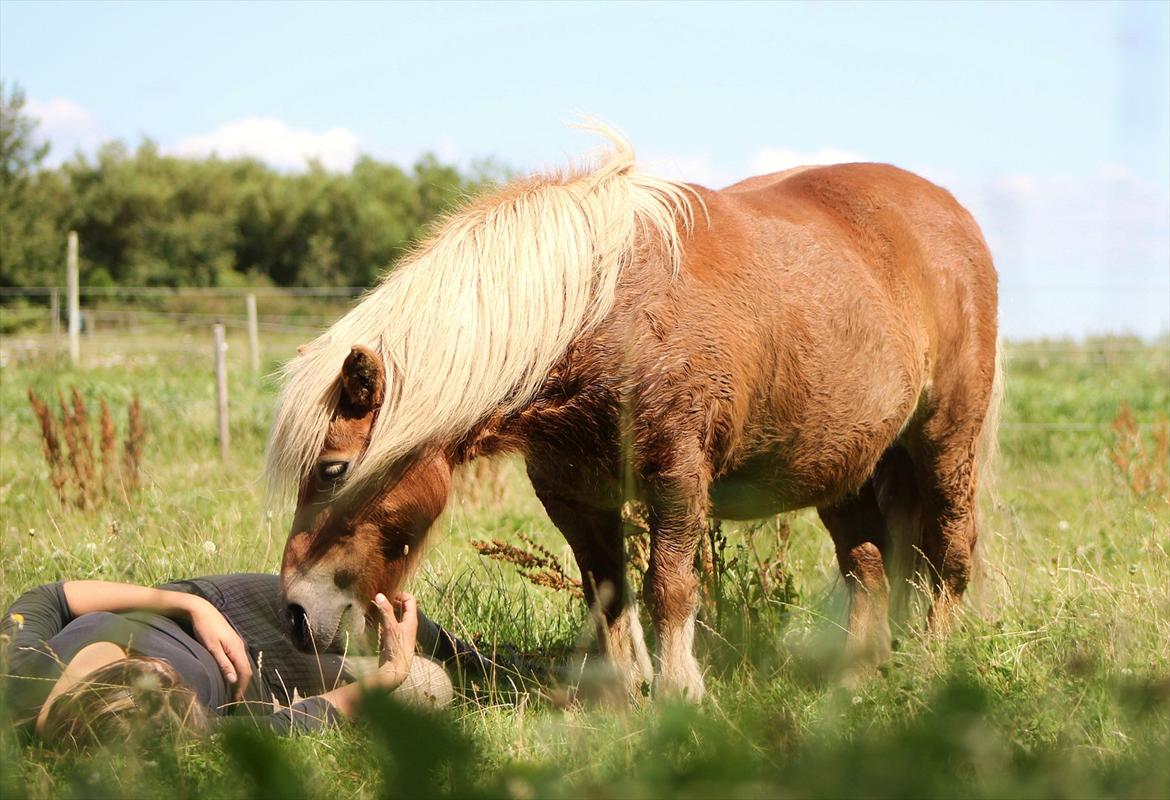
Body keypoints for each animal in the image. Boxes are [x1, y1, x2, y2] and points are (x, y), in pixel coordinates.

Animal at [265, 125, 996, 701]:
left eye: (333, 469)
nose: (296, 614)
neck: (595, 316)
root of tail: (951, 212)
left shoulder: (676, 477)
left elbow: (668, 587)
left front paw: (680, 692)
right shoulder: (573, 492)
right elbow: (608, 591)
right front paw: (624, 694)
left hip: (944, 440)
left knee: (950, 553)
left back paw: (930, 664)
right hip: (845, 463)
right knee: (868, 567)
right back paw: (857, 675)